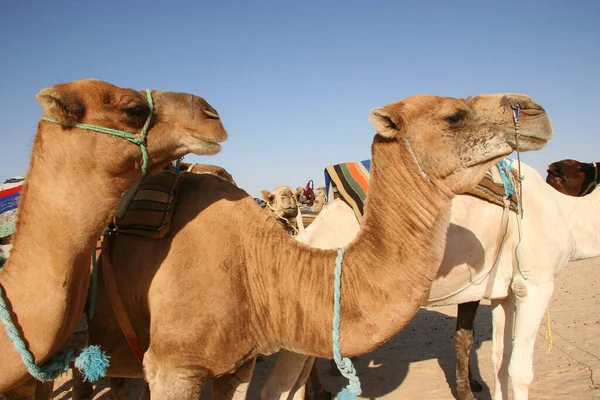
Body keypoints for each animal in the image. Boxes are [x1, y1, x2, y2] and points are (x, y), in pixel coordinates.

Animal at [258, 160, 600, 400]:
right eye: (569, 172)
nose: (289, 199)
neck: (567, 214)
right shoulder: (536, 283)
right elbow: (520, 371)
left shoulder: (506, 292)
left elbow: (500, 361)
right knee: (275, 389)